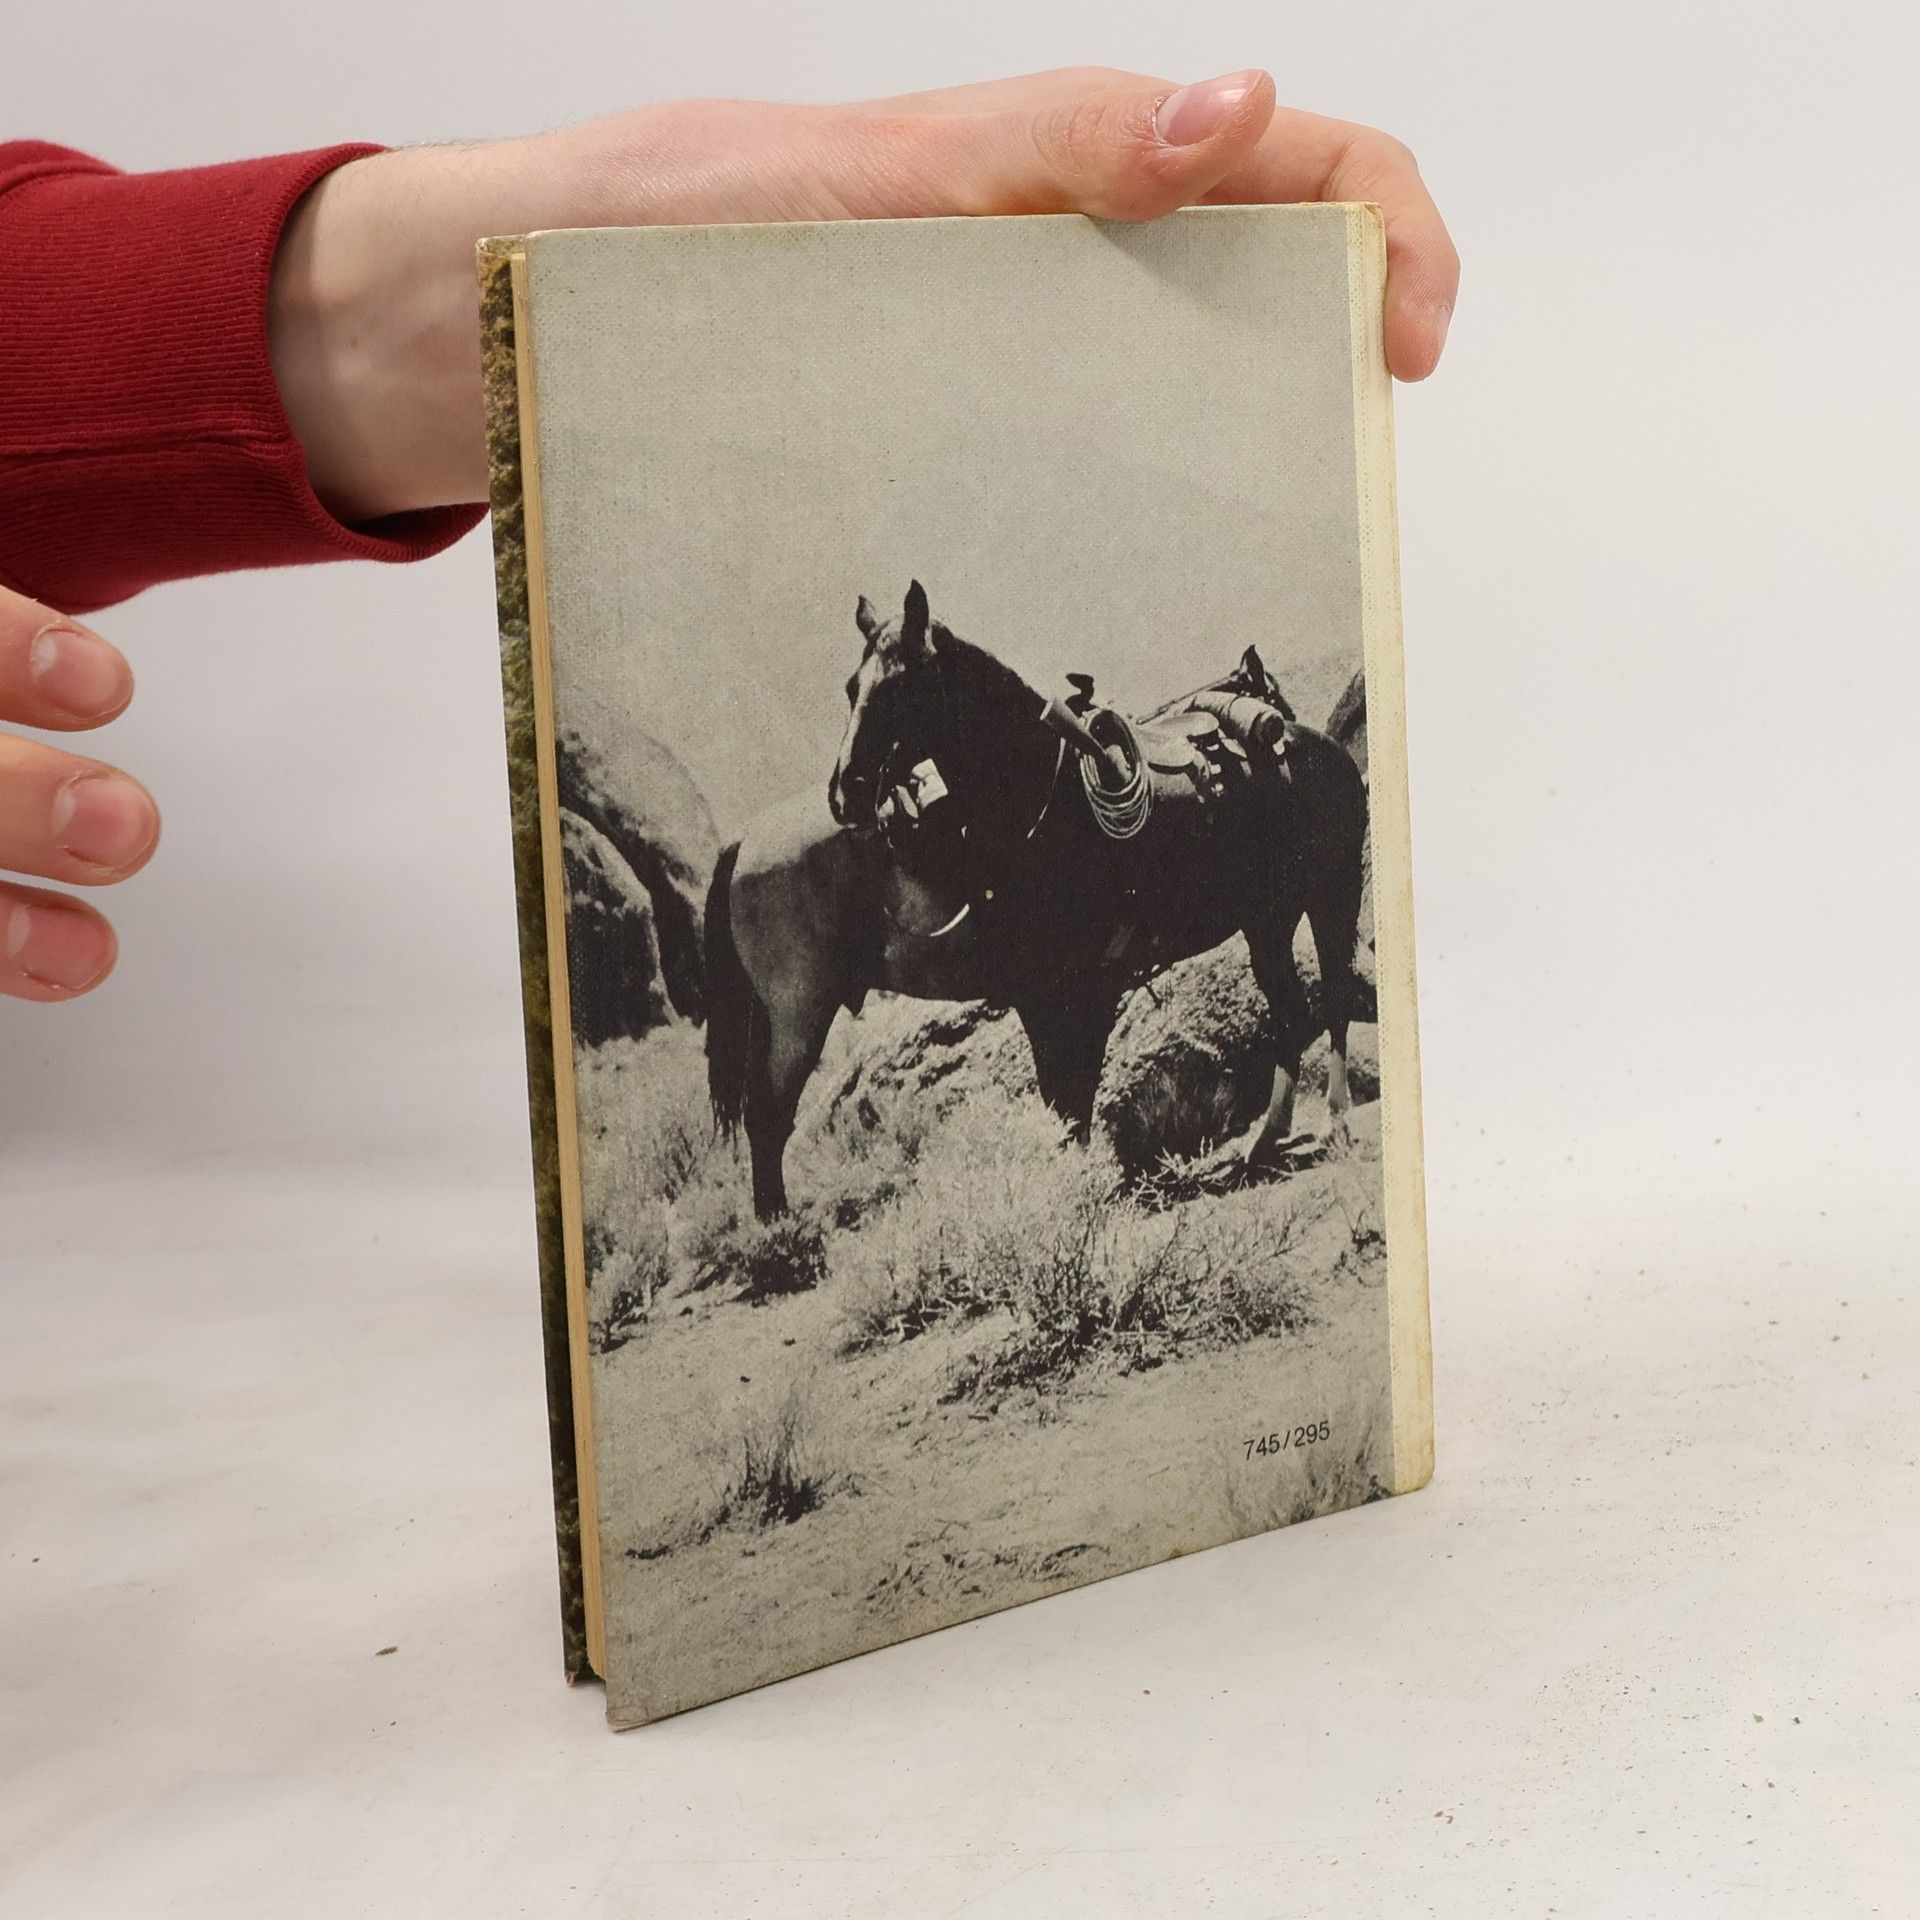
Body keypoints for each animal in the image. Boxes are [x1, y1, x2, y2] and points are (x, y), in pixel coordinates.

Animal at [705, 581, 1370, 1220]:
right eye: (852, 688)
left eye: (899, 688)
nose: (845, 791)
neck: (1035, 804)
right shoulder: (1053, 994)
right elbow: (1067, 1100)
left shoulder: (1066, 991)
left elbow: (1070, 1099)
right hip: (800, 1014)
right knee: (768, 1114)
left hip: (1312, 902)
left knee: (1321, 1005)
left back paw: (1314, 1128)